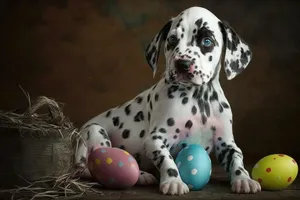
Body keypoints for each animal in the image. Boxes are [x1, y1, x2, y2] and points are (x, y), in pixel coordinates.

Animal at [75, 6, 260, 195]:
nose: (182, 64)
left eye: (207, 41)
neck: (198, 100)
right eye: (172, 39)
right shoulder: (155, 140)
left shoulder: (227, 144)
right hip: (95, 131)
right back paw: (140, 175)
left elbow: (237, 160)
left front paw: (244, 179)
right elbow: (167, 160)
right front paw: (173, 181)